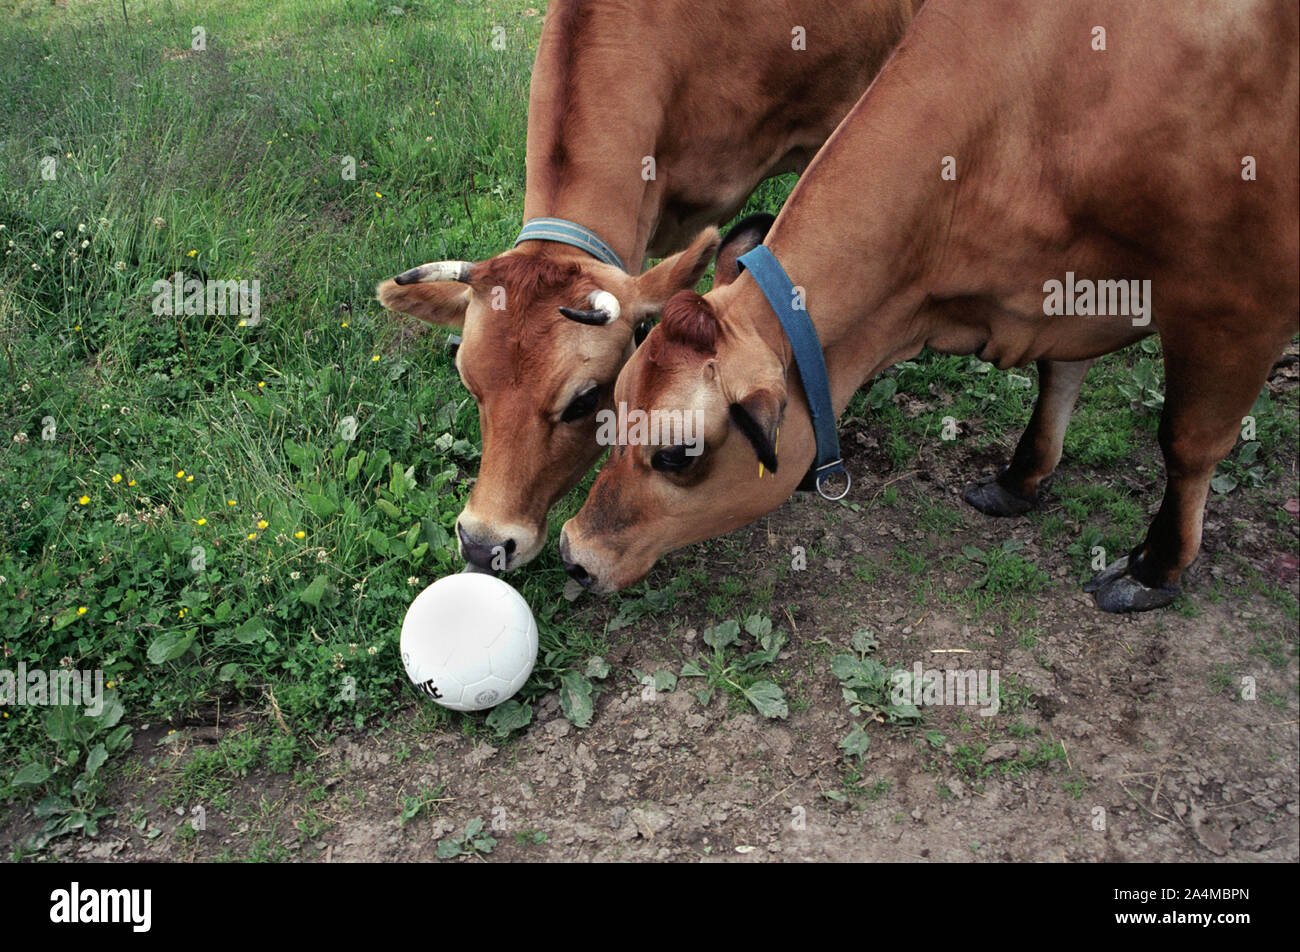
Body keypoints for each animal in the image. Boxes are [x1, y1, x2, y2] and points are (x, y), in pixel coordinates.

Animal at [558, 0, 1299, 613]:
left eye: (678, 455)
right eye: (612, 404)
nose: (573, 553)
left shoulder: (1239, 303)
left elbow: (1188, 440)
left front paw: (1156, 568)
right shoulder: (1069, 291)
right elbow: (1058, 378)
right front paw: (1019, 479)